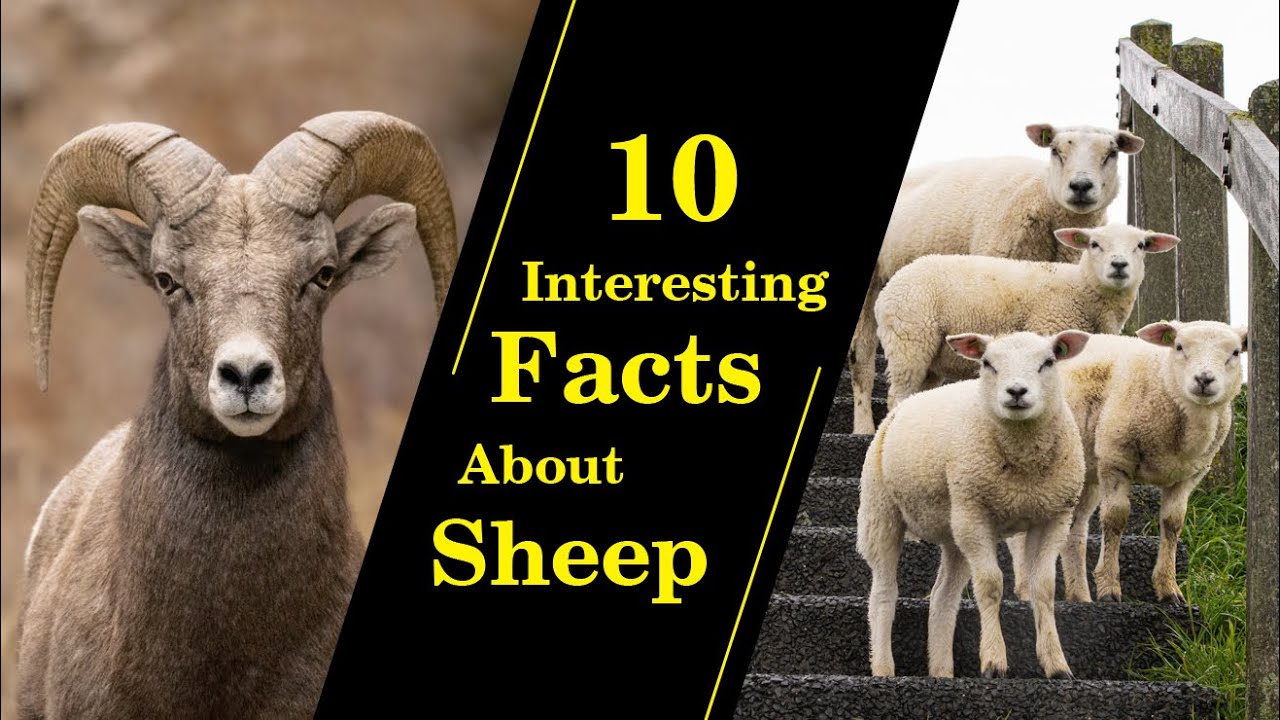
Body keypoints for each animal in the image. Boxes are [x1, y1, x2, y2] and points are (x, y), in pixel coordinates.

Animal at [856, 330, 1090, 679]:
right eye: (987, 363)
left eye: (1048, 362)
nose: (1016, 392)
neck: (1023, 468)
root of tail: (904, 405)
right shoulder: (976, 513)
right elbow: (991, 584)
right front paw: (994, 661)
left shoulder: (1053, 517)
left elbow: (1045, 587)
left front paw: (1056, 664)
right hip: (882, 511)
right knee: (883, 593)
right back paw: (884, 668)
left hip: (955, 528)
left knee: (943, 597)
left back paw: (941, 670)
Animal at [874, 223, 1179, 413]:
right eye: (1094, 244)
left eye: (1141, 245)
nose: (1119, 265)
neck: (1081, 288)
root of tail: (889, 289)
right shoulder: (1048, 326)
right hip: (910, 339)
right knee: (898, 393)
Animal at [1010, 321, 1248, 605]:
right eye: (1179, 346)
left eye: (1235, 352)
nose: (1203, 379)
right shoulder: (1116, 459)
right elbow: (1115, 519)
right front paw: (1109, 588)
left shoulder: (1187, 476)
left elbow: (1173, 524)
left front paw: (1169, 589)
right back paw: (1025, 590)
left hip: (1083, 475)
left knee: (1075, 530)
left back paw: (1079, 594)